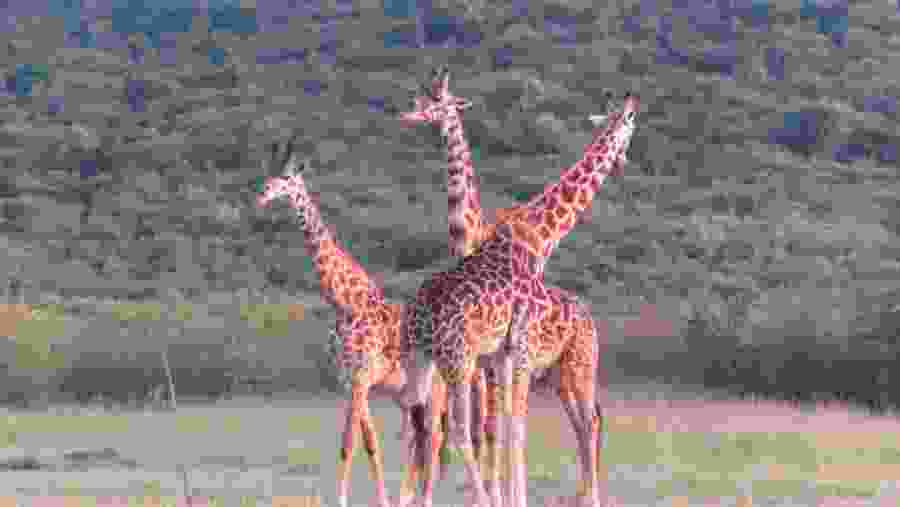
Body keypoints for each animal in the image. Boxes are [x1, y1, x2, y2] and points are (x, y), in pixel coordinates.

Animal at [255, 139, 484, 507]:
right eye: (268, 175)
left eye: (287, 179)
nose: (261, 195)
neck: (346, 304)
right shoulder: (349, 381)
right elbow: (368, 443)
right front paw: (384, 500)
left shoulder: (362, 378)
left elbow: (350, 443)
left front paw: (342, 501)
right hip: (408, 393)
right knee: (419, 439)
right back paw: (409, 497)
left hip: (436, 388)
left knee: (433, 438)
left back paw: (424, 497)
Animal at [401, 91, 639, 507]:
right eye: (630, 127)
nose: (625, 160)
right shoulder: (514, 350)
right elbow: (509, 425)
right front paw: (508, 497)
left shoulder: (505, 352)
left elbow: (505, 424)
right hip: (467, 362)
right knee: (453, 427)